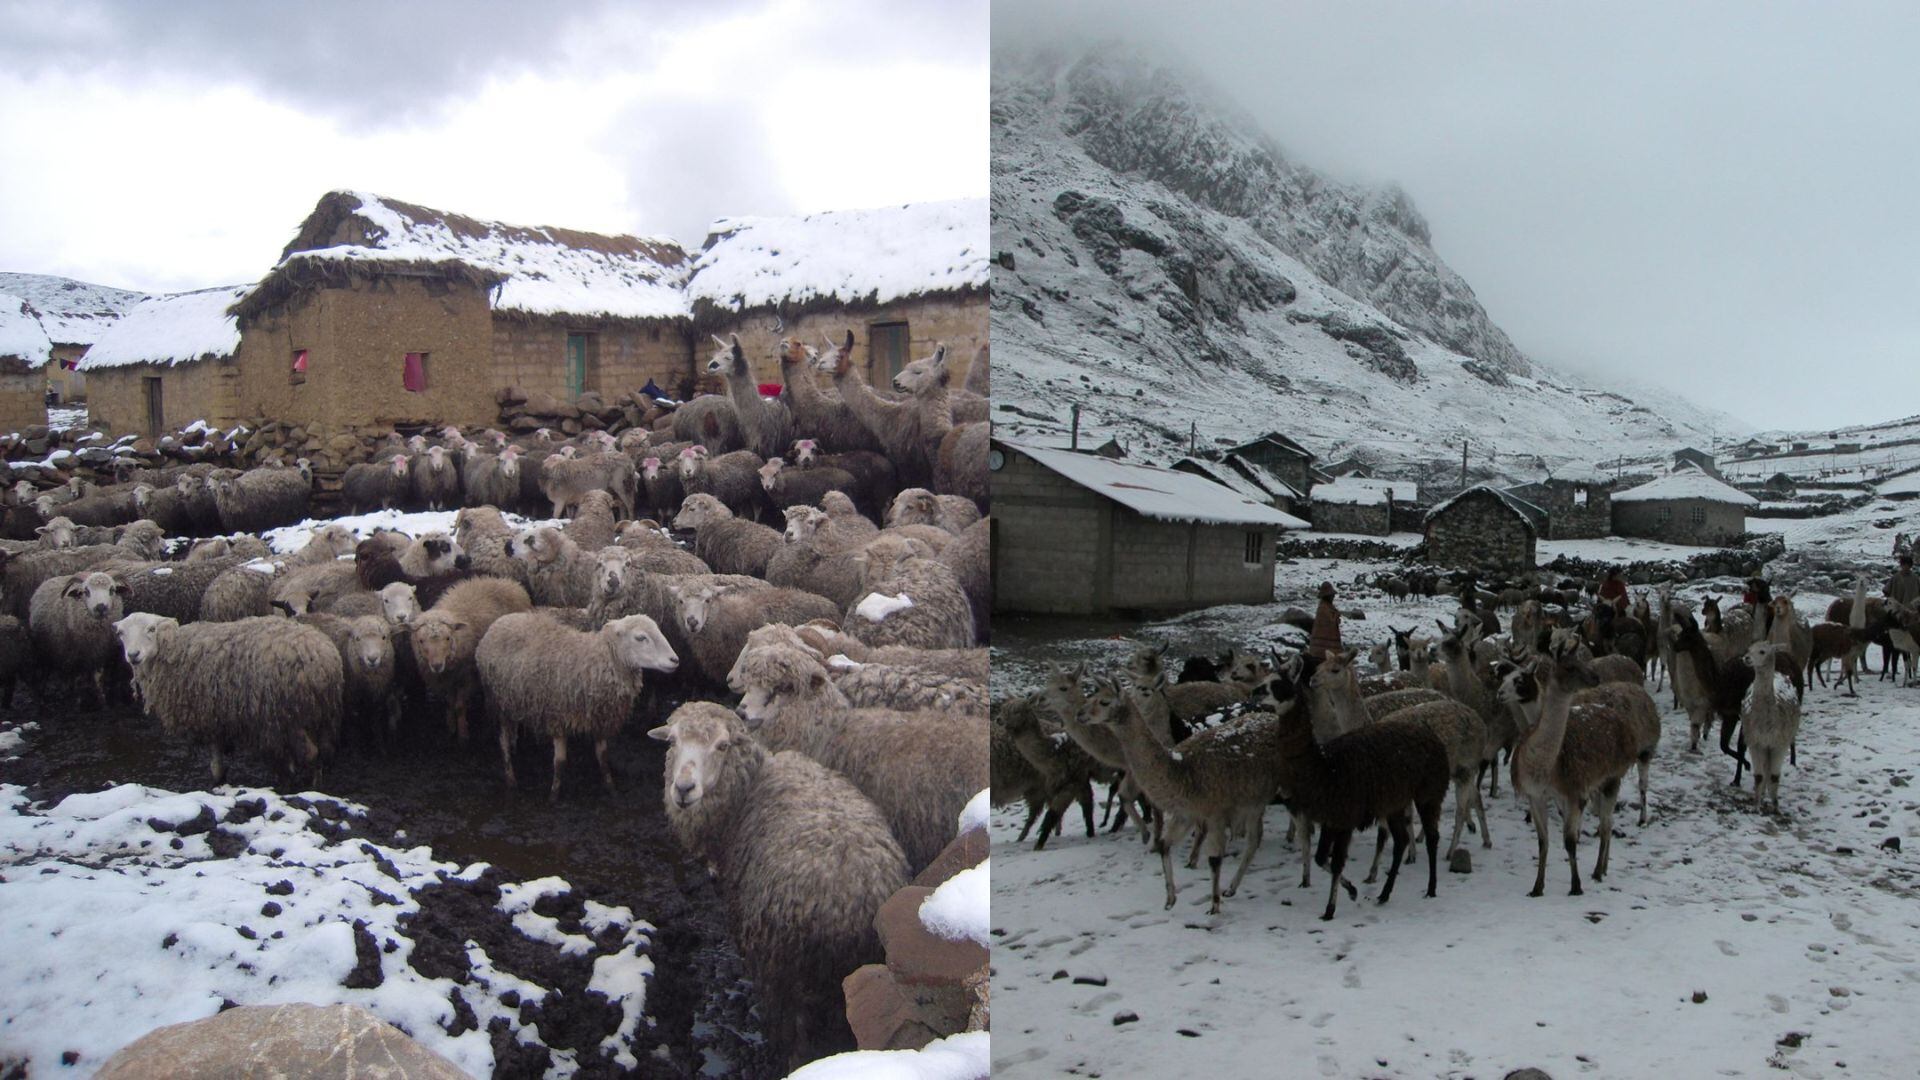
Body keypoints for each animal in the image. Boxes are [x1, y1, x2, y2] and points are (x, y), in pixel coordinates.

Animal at [114, 614, 343, 780]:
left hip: (287, 714)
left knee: (310, 753)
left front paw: (218, 779)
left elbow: (215, 761)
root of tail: (322, 657)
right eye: (121, 633)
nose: (133, 655)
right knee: (324, 750)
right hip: (321, 712)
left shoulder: (208, 715)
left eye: (151, 629)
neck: (173, 650)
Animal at [480, 611, 683, 795]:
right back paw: (510, 777)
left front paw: (611, 788)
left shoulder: (600, 717)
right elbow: (560, 761)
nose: (675, 660)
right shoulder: (558, 717)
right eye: (640, 638)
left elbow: (603, 757)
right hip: (500, 702)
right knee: (503, 740)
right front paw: (554, 794)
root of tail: (499, 621)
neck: (596, 660)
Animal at [652, 699, 906, 1068]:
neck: (751, 785)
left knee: (793, 1038)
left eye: (723, 746)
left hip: (784, 977)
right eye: (672, 741)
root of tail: (848, 907)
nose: (683, 789)